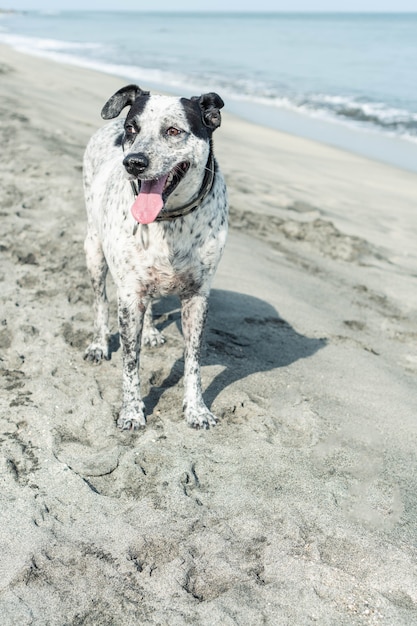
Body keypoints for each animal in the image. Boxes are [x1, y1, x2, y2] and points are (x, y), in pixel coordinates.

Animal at [82, 84, 228, 428]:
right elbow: (130, 361)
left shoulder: (197, 296)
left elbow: (193, 360)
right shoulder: (129, 295)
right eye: (131, 129)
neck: (170, 219)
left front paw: (197, 409)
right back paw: (98, 344)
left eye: (173, 131)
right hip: (94, 250)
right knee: (99, 302)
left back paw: (149, 332)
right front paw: (132, 411)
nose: (133, 162)